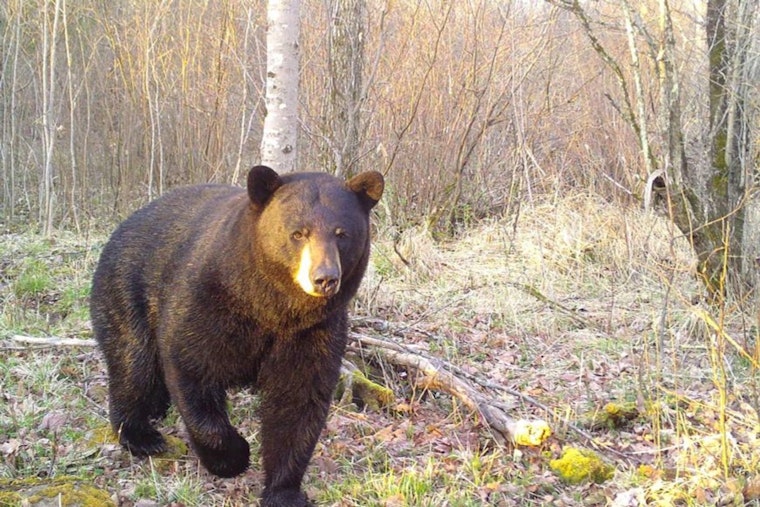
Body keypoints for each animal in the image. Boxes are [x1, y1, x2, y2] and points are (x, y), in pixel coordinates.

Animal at [90, 165, 384, 506]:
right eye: (298, 233)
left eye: (341, 233)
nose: (324, 278)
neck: (274, 308)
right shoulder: (209, 299)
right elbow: (191, 363)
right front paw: (233, 457)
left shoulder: (314, 331)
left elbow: (298, 400)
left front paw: (284, 492)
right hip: (126, 289)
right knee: (132, 362)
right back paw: (141, 435)